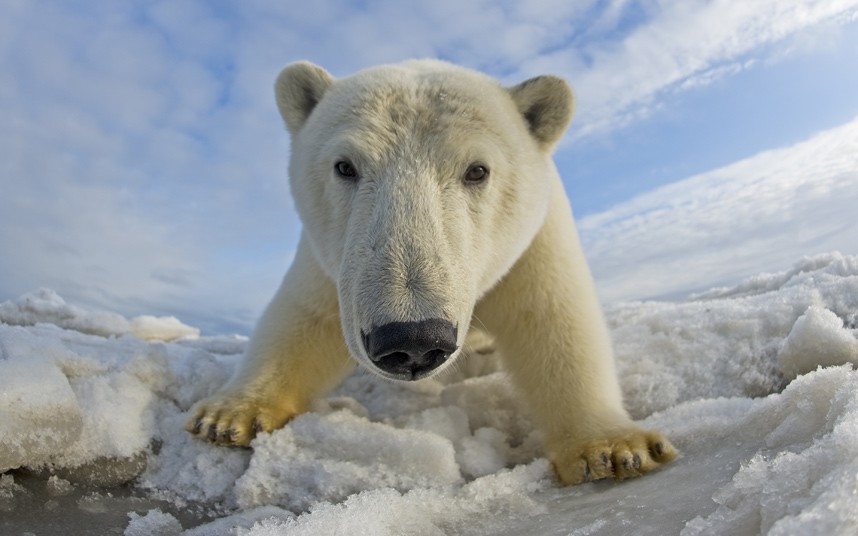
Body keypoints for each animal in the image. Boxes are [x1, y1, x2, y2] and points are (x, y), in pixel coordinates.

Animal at [187, 59, 676, 486]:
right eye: (345, 166)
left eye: (478, 170)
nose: (413, 339)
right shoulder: (331, 259)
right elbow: (305, 319)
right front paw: (227, 417)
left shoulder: (534, 242)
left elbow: (553, 320)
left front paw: (613, 449)